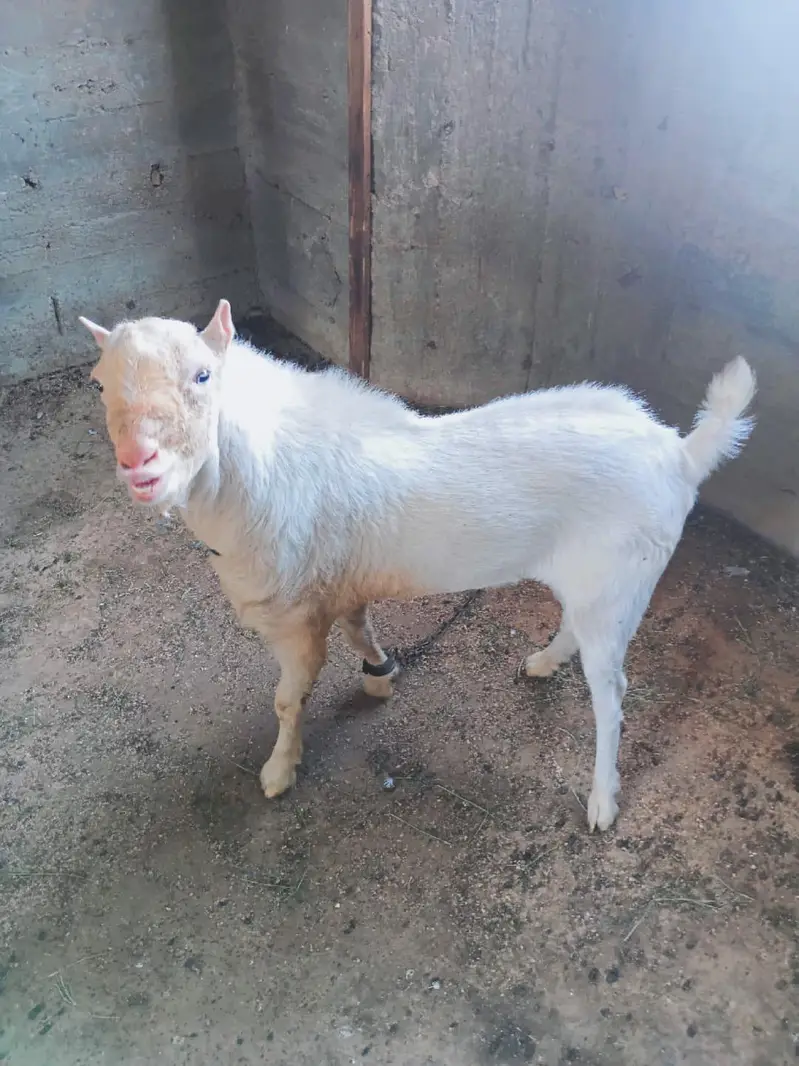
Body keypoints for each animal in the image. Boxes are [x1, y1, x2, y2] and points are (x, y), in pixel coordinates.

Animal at [79, 300, 756, 831]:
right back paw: (544, 661)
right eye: (100, 384)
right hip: (596, 585)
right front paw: (380, 672)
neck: (253, 470)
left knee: (612, 693)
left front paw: (278, 770)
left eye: (203, 375)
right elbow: (359, 627)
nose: (139, 465)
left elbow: (288, 700)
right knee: (577, 628)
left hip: (620, 583)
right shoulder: (339, 584)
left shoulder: (295, 615)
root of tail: (680, 455)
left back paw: (601, 802)